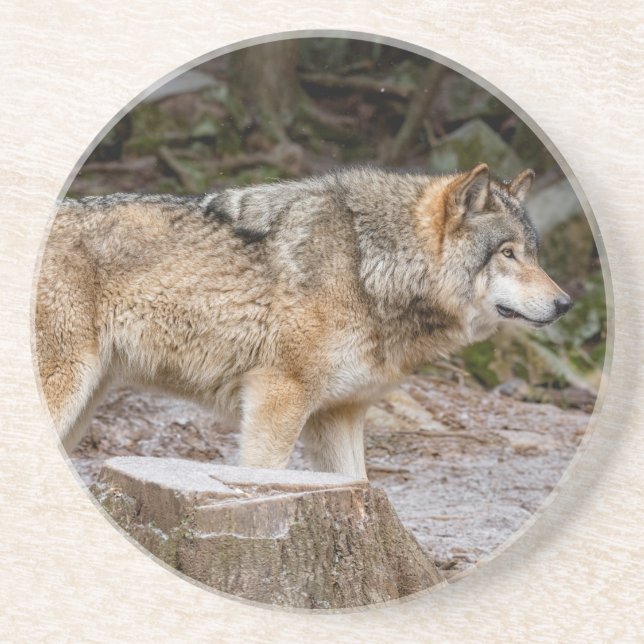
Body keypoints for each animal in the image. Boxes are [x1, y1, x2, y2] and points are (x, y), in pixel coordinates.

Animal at [35, 163, 572, 478]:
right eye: (507, 254)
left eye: (534, 254)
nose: (565, 304)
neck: (367, 268)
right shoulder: (278, 397)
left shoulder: (339, 415)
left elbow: (359, 491)